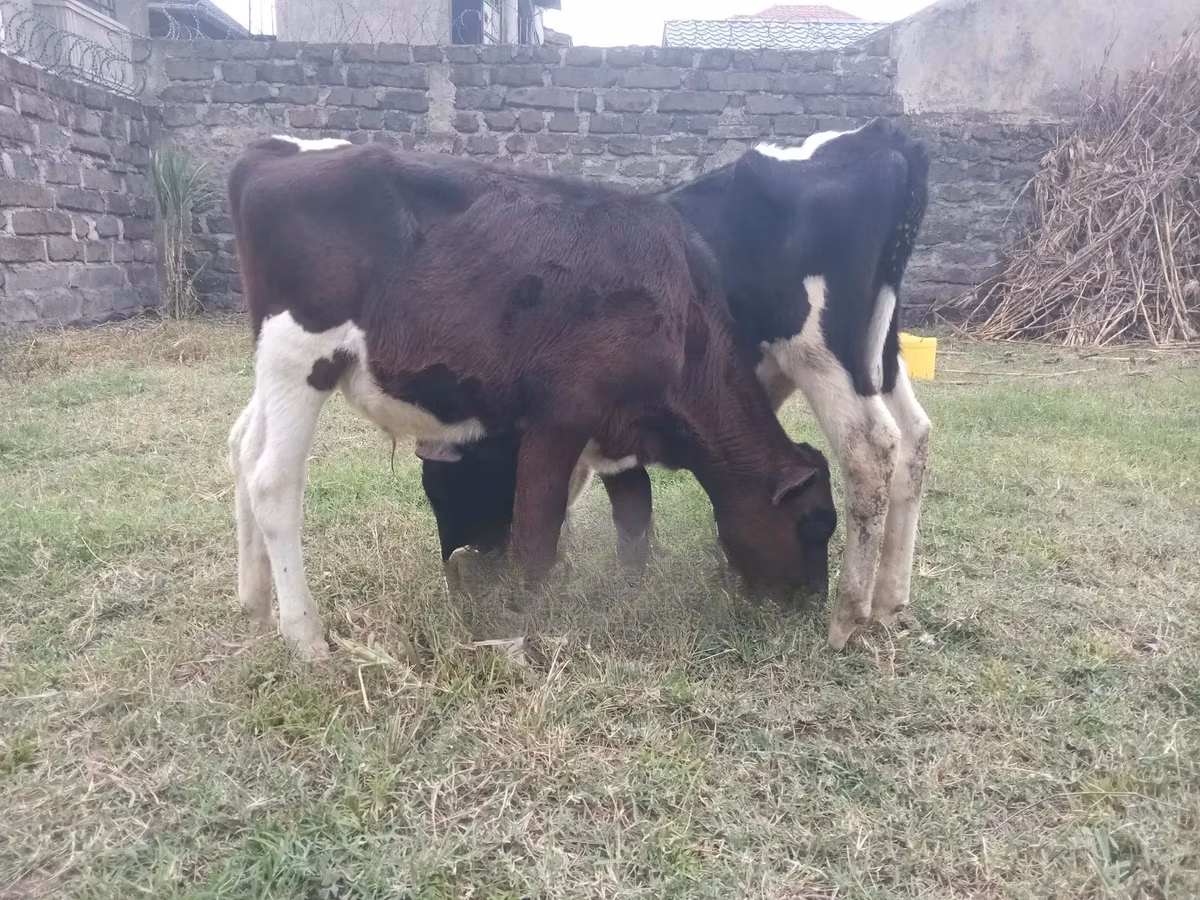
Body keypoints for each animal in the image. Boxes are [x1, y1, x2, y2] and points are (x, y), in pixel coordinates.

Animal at [226, 135, 838, 660]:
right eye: (817, 523)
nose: (814, 604)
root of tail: (276, 149)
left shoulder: (616, 431)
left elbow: (633, 515)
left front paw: (626, 592)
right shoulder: (561, 415)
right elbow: (539, 528)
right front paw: (523, 628)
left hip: (273, 365)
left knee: (242, 446)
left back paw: (254, 606)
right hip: (300, 354)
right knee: (273, 480)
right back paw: (305, 637)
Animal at [418, 117, 931, 652]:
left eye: (448, 490)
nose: (458, 569)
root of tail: (879, 135)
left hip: (821, 350)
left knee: (872, 448)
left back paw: (847, 620)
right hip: (879, 350)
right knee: (915, 435)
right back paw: (890, 603)